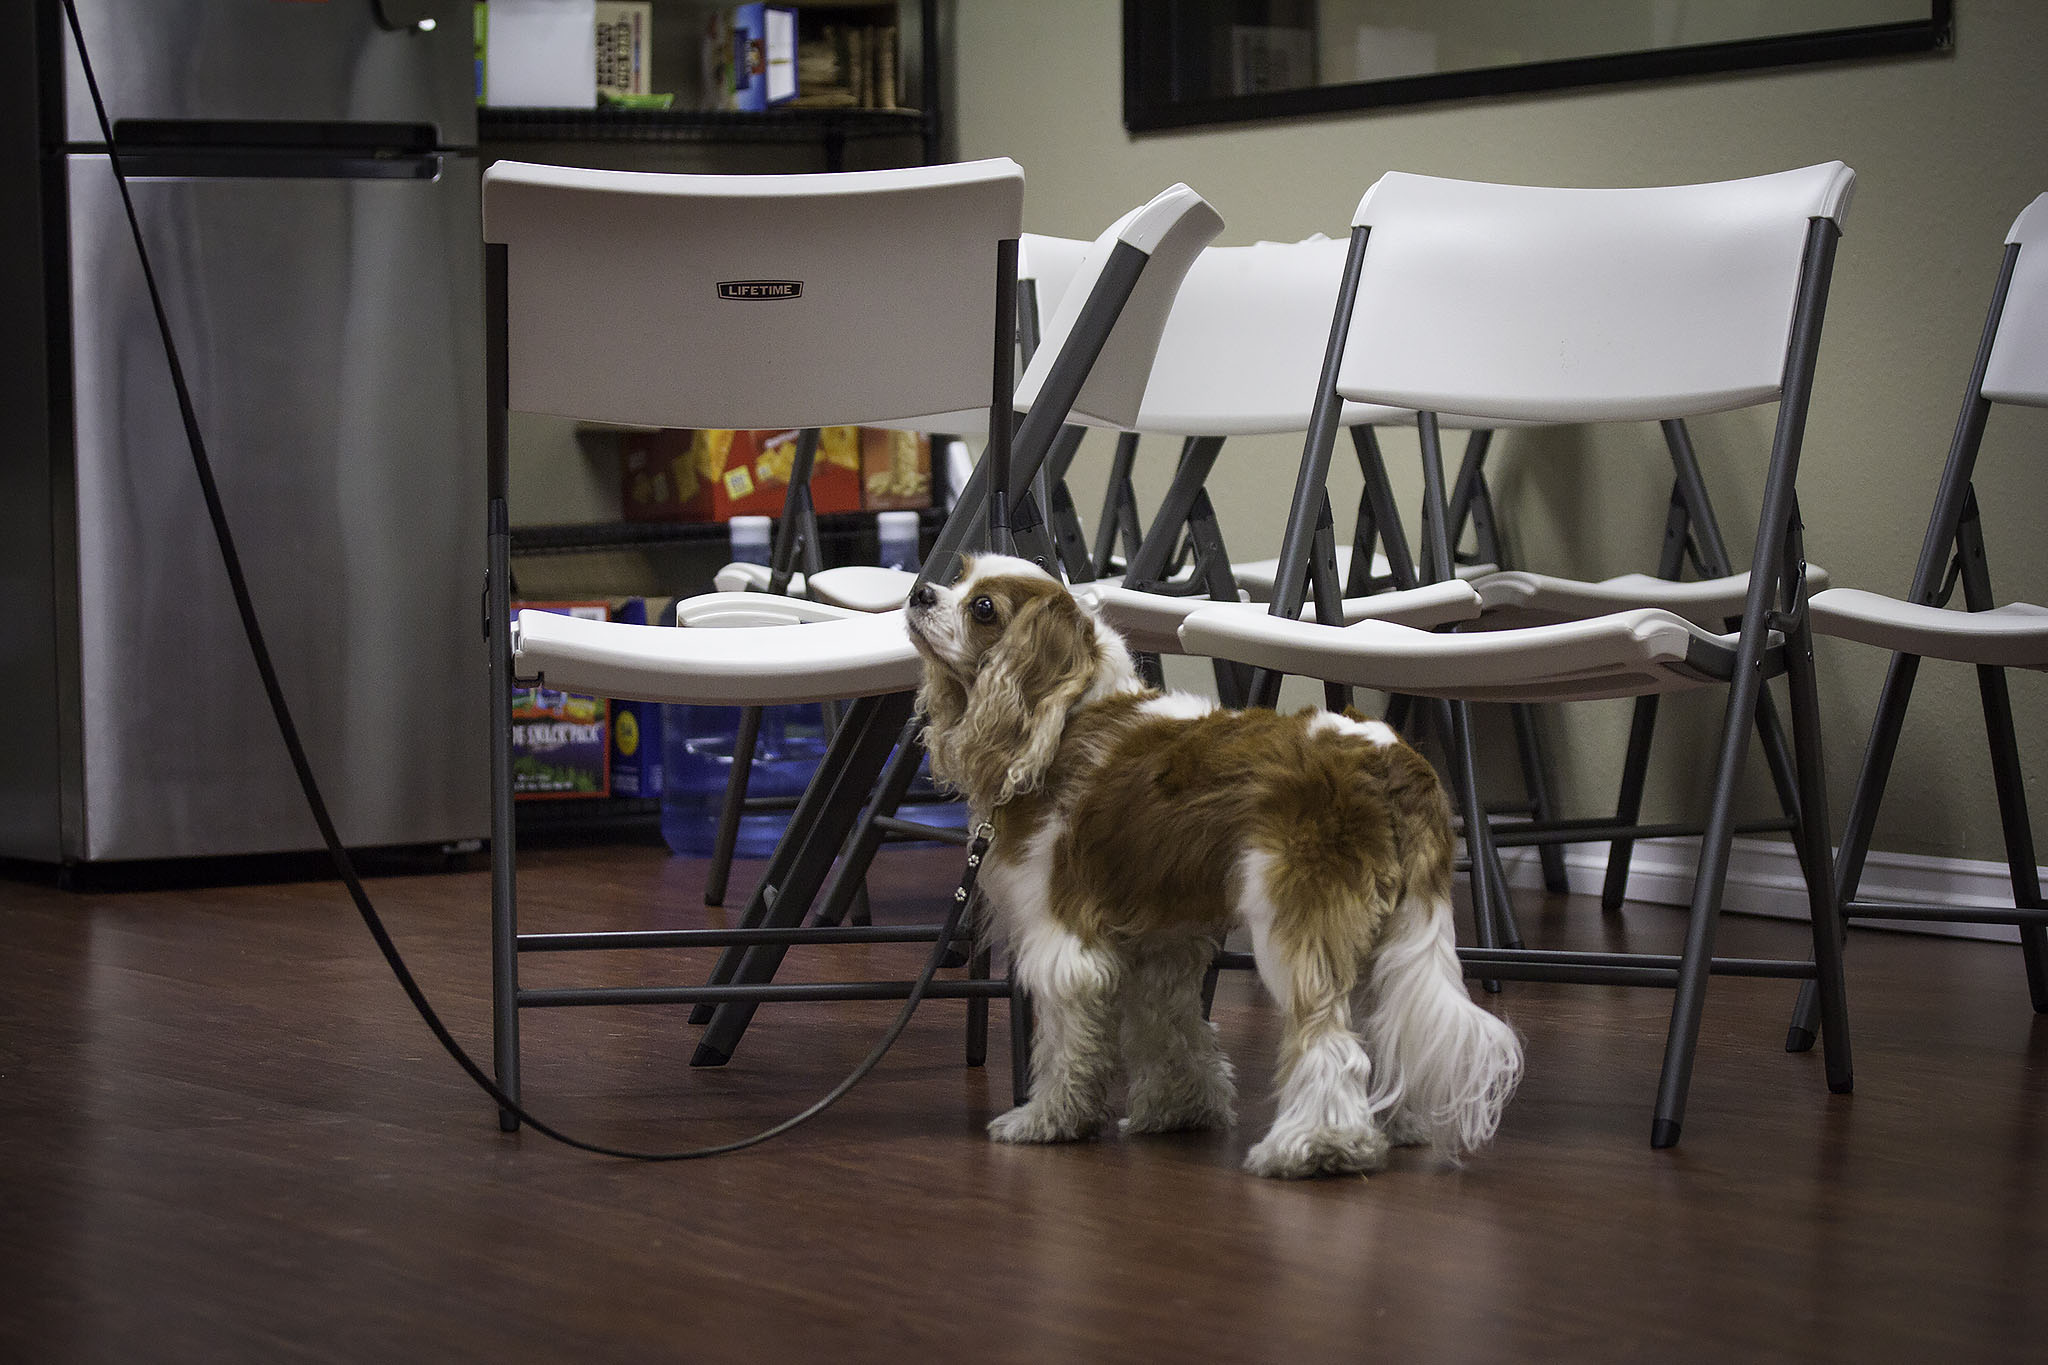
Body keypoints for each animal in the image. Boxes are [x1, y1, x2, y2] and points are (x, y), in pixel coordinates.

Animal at [905, 554, 1522, 1178]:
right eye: (957, 577)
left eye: (984, 608)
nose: (920, 592)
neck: (1065, 718)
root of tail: (1386, 755)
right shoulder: (1161, 938)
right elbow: (1169, 1024)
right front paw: (1180, 1109)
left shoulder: (1065, 944)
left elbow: (1064, 1046)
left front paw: (1048, 1120)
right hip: (1394, 929)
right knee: (1388, 1024)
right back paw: (1397, 1125)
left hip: (1297, 924)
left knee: (1328, 1039)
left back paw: (1318, 1146)